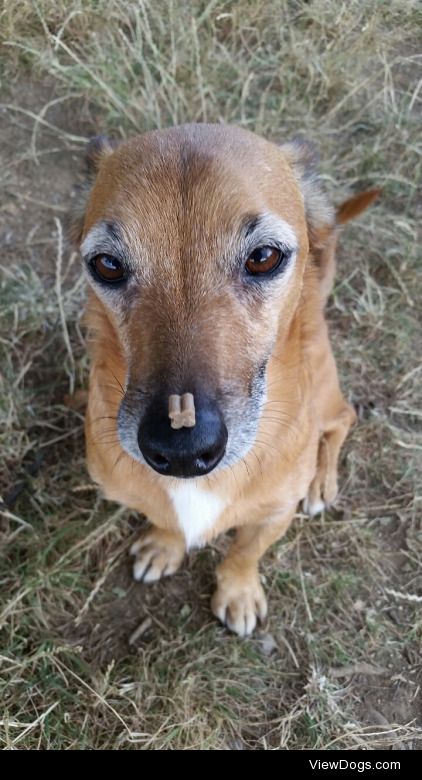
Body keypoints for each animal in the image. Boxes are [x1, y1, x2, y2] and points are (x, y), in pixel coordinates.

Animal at [71, 126, 380, 632]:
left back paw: (321, 482)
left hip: (327, 394)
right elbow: (165, 519)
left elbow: (244, 552)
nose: (181, 451)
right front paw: (165, 545)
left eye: (264, 257)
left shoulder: (275, 512)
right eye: (107, 265)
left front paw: (237, 591)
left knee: (342, 422)